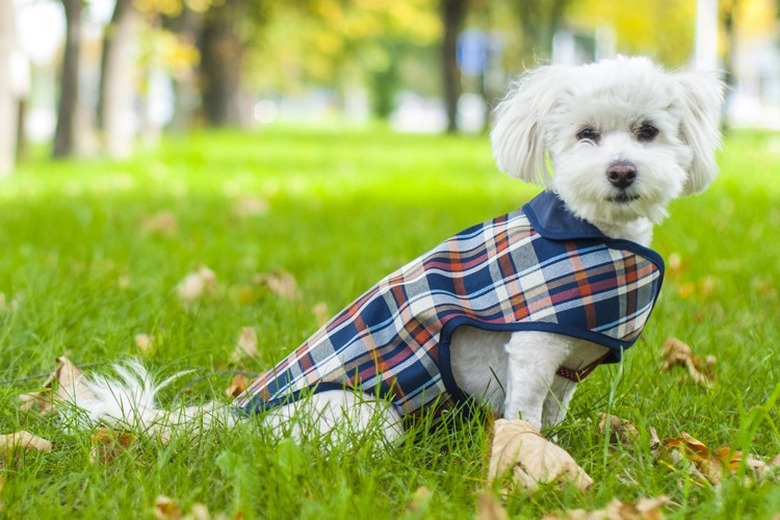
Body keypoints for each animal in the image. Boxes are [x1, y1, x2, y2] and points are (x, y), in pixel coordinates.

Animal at [68, 58, 724, 446]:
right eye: (586, 135)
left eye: (647, 132)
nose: (621, 171)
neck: (591, 232)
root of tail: (238, 415)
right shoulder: (535, 345)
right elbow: (527, 411)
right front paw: (529, 461)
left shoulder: (568, 361)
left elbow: (553, 409)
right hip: (365, 415)